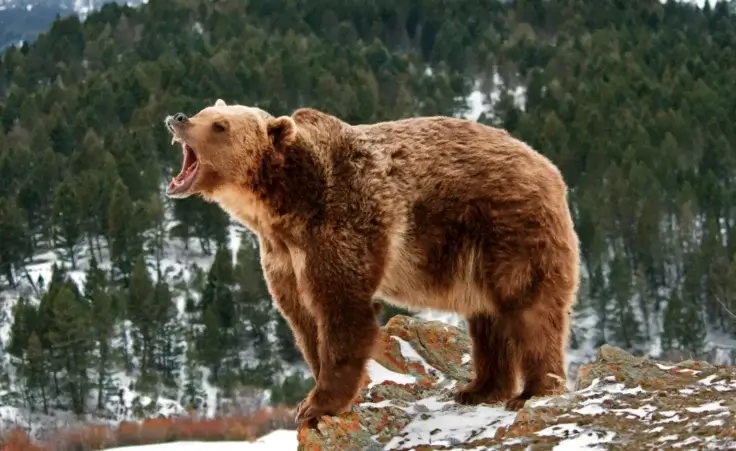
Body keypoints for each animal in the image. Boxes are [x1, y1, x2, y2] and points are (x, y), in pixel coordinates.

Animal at [165, 98, 580, 424]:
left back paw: (532, 391)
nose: (179, 117)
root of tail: (549, 168)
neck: (285, 206)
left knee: (529, 309)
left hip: (509, 229)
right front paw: (312, 395)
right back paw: (479, 388)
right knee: (488, 318)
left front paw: (317, 406)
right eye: (206, 111)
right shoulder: (282, 256)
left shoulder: (342, 224)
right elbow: (303, 320)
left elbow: (343, 311)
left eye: (220, 125)